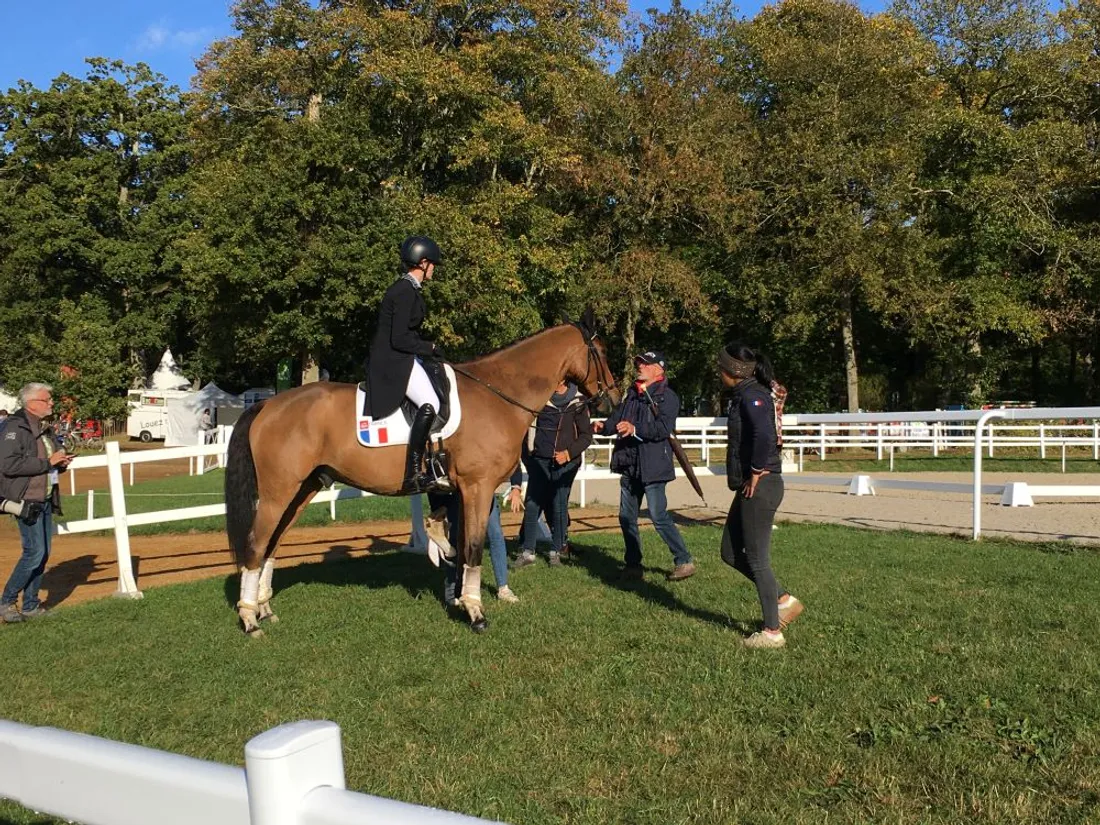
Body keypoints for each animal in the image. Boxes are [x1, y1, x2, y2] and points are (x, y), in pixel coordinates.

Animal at [224, 314, 620, 635]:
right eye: (601, 350)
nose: (612, 399)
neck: (498, 394)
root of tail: (267, 405)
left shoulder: (459, 490)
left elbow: (458, 542)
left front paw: (458, 594)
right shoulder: (477, 488)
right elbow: (473, 546)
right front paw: (476, 613)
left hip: (301, 490)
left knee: (272, 543)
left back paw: (263, 608)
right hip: (278, 493)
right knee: (256, 543)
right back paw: (249, 620)